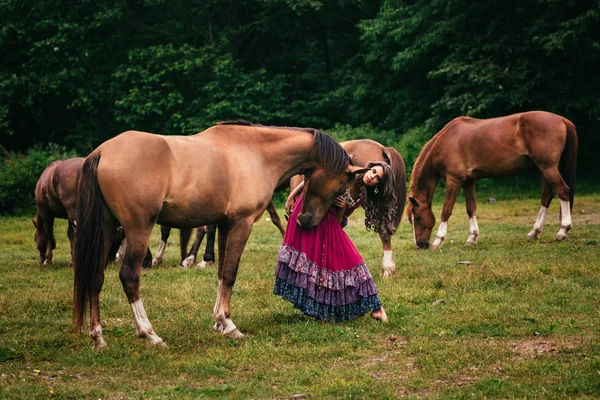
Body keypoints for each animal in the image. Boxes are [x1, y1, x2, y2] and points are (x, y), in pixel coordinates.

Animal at [75, 121, 366, 346]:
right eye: (341, 184)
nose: (305, 221)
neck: (256, 153)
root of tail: (102, 152)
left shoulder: (226, 226)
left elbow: (220, 271)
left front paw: (219, 322)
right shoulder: (241, 224)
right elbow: (230, 273)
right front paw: (229, 324)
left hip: (106, 229)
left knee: (96, 277)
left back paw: (98, 336)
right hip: (138, 229)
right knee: (129, 277)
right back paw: (150, 334)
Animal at [408, 111, 576, 250]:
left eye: (418, 217)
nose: (420, 244)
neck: (446, 141)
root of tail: (562, 119)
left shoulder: (454, 180)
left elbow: (446, 210)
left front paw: (438, 240)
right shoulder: (469, 182)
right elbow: (471, 208)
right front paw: (472, 238)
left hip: (548, 168)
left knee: (563, 191)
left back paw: (563, 230)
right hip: (543, 169)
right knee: (546, 197)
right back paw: (534, 232)